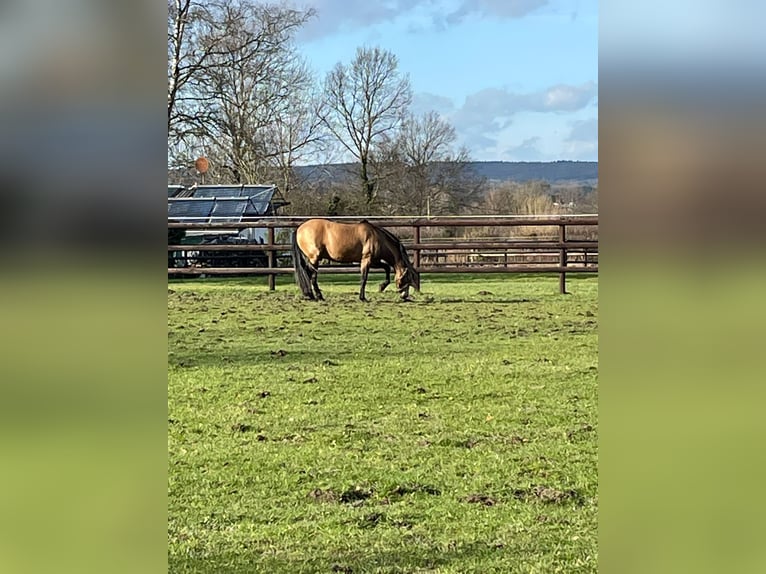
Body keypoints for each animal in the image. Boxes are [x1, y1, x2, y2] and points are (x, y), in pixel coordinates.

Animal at [292, 219, 424, 304]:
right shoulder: (366, 260)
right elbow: (364, 278)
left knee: (309, 275)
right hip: (314, 259)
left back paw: (312, 295)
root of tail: (299, 229)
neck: (376, 237)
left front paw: (381, 286)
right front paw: (363, 298)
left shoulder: (374, 261)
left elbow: (386, 268)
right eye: (406, 279)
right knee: (312, 277)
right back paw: (316, 296)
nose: (405, 296)